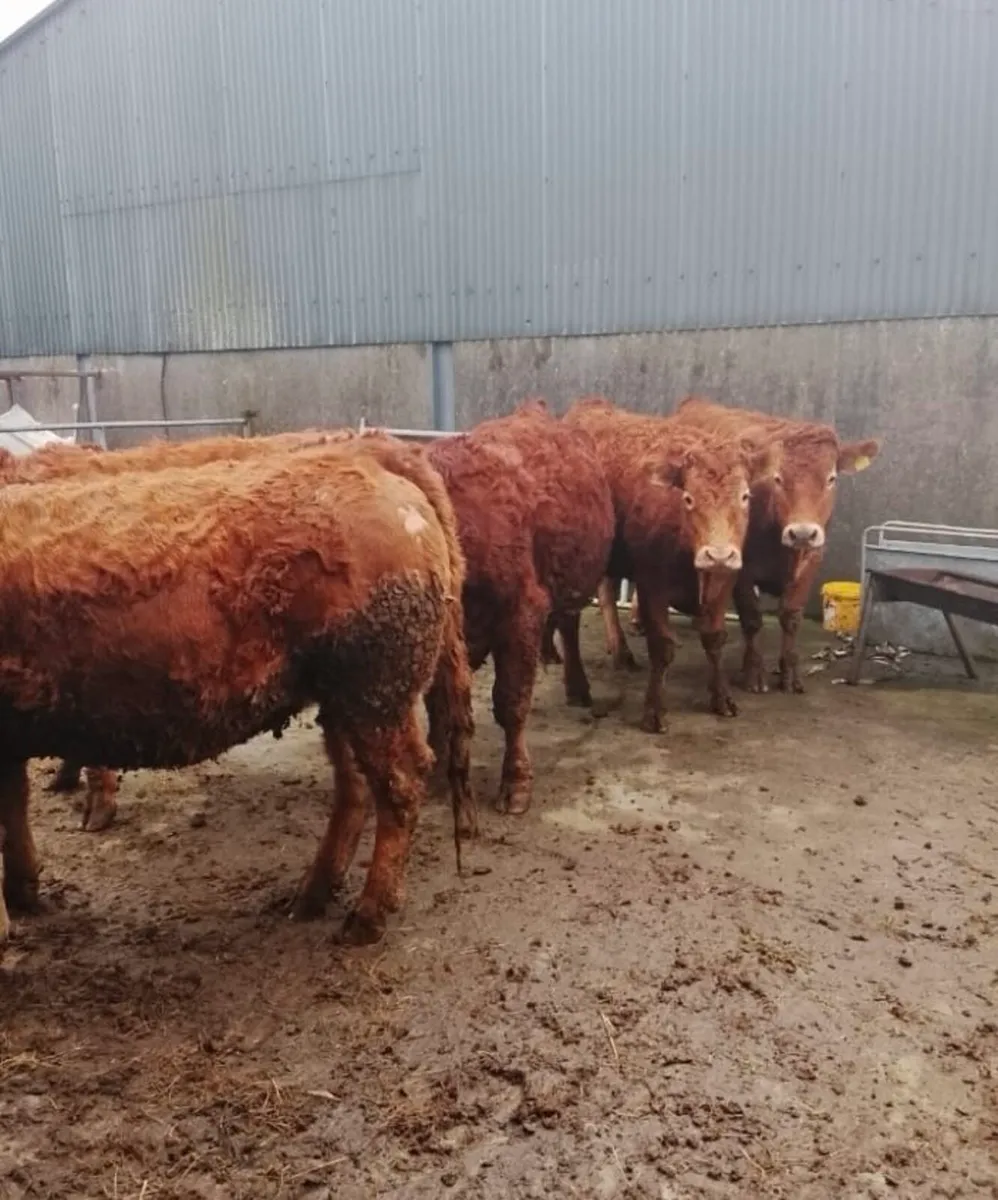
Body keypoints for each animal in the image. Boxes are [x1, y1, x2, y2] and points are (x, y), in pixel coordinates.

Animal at [0, 436, 475, 949]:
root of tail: (375, 461)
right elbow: (13, 802)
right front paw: (23, 894)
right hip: (342, 697)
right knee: (356, 786)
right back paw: (310, 896)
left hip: (375, 691)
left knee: (401, 784)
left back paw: (365, 918)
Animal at [421, 400, 615, 816]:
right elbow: (437, 705)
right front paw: (435, 772)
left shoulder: (521, 616)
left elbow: (511, 701)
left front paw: (516, 783)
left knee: (568, 627)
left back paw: (577, 685)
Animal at [558, 397, 775, 733]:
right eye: (688, 498)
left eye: (745, 496)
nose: (719, 555)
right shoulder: (653, 585)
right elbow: (661, 646)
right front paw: (654, 710)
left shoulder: (725, 581)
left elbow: (715, 638)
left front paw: (721, 696)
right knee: (569, 623)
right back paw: (577, 687)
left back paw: (620, 653)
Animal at [670, 396, 881, 694]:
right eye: (778, 478)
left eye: (831, 478)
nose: (802, 533)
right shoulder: (742, 568)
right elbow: (752, 619)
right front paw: (753, 672)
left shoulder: (811, 559)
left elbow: (791, 617)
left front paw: (789, 672)